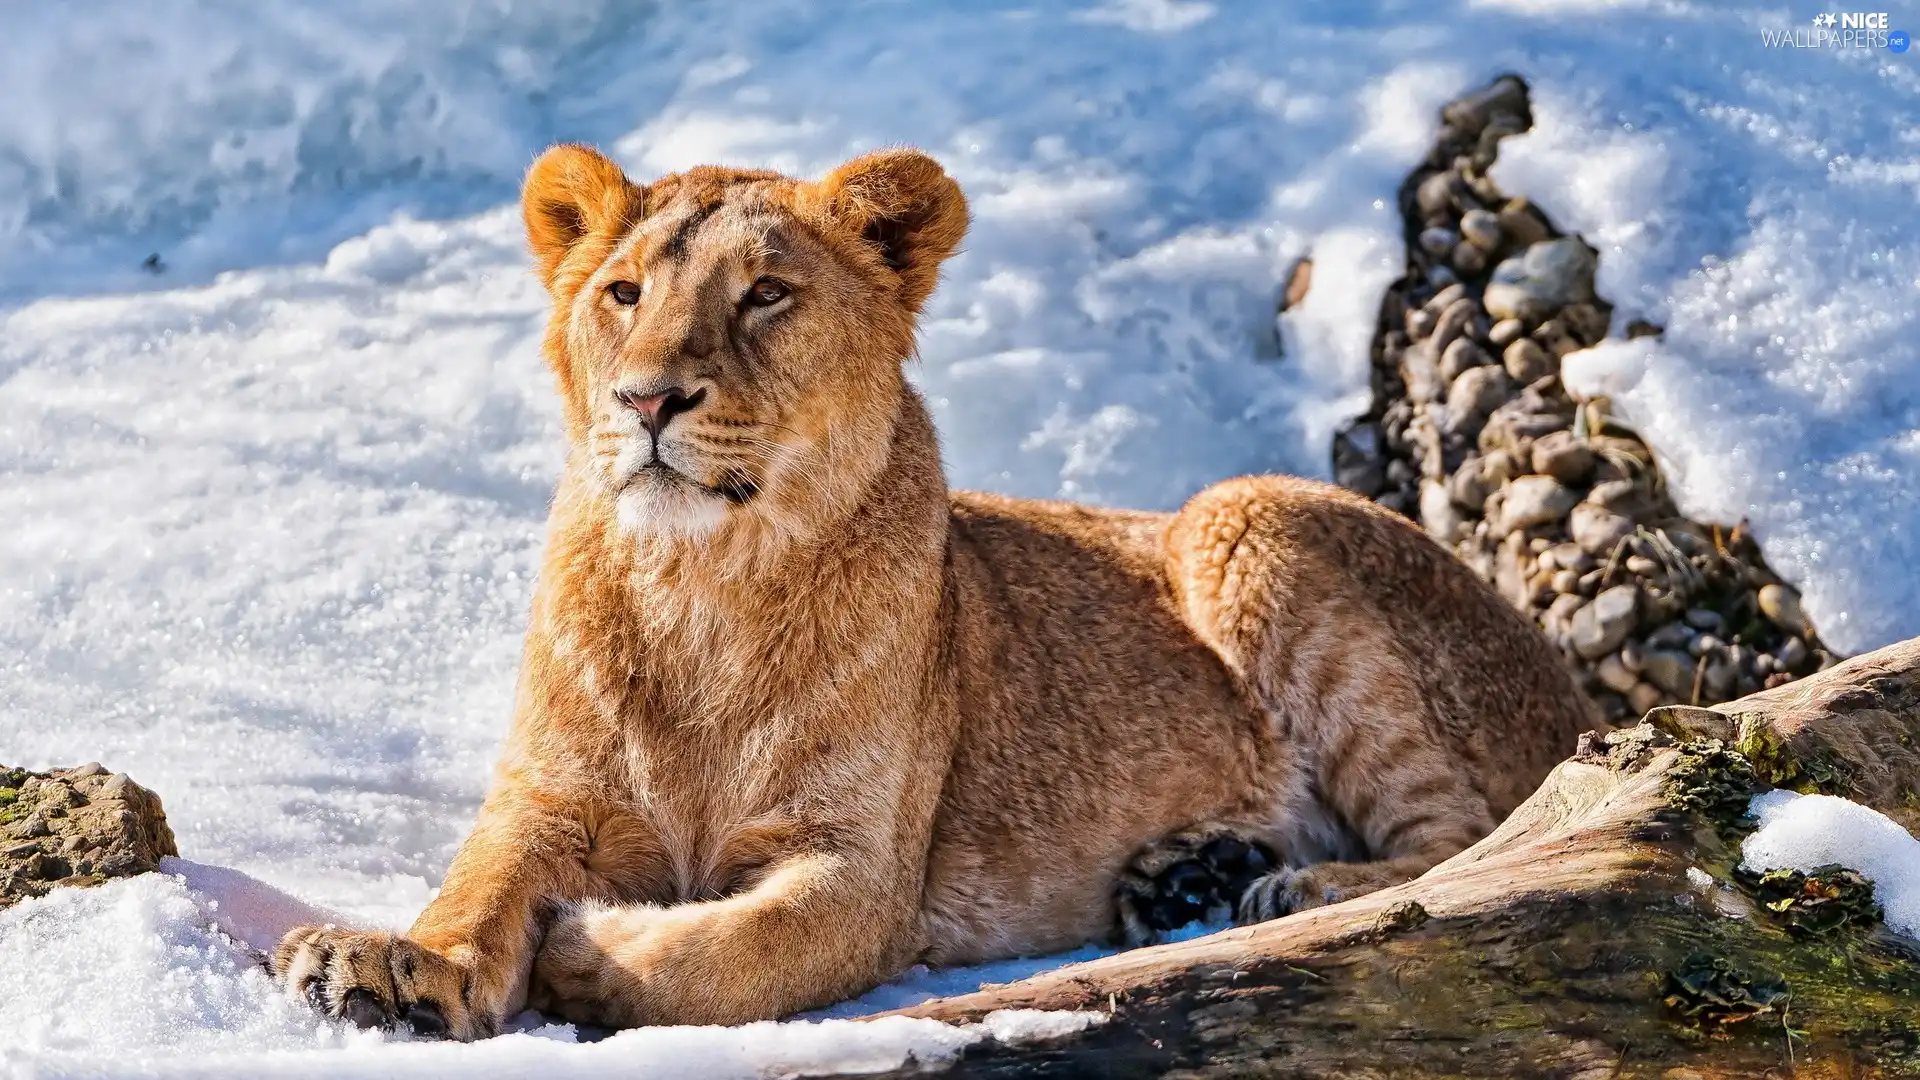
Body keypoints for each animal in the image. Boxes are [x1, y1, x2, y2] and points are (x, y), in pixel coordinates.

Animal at [266, 143, 1589, 1037]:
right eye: (624, 294)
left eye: (765, 294)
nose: (647, 399)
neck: (700, 584)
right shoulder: (547, 801)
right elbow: (475, 886)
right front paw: (388, 966)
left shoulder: (862, 871)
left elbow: (732, 953)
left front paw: (594, 949)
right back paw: (1187, 878)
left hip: (1243, 513)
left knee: (1472, 840)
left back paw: (1291, 885)